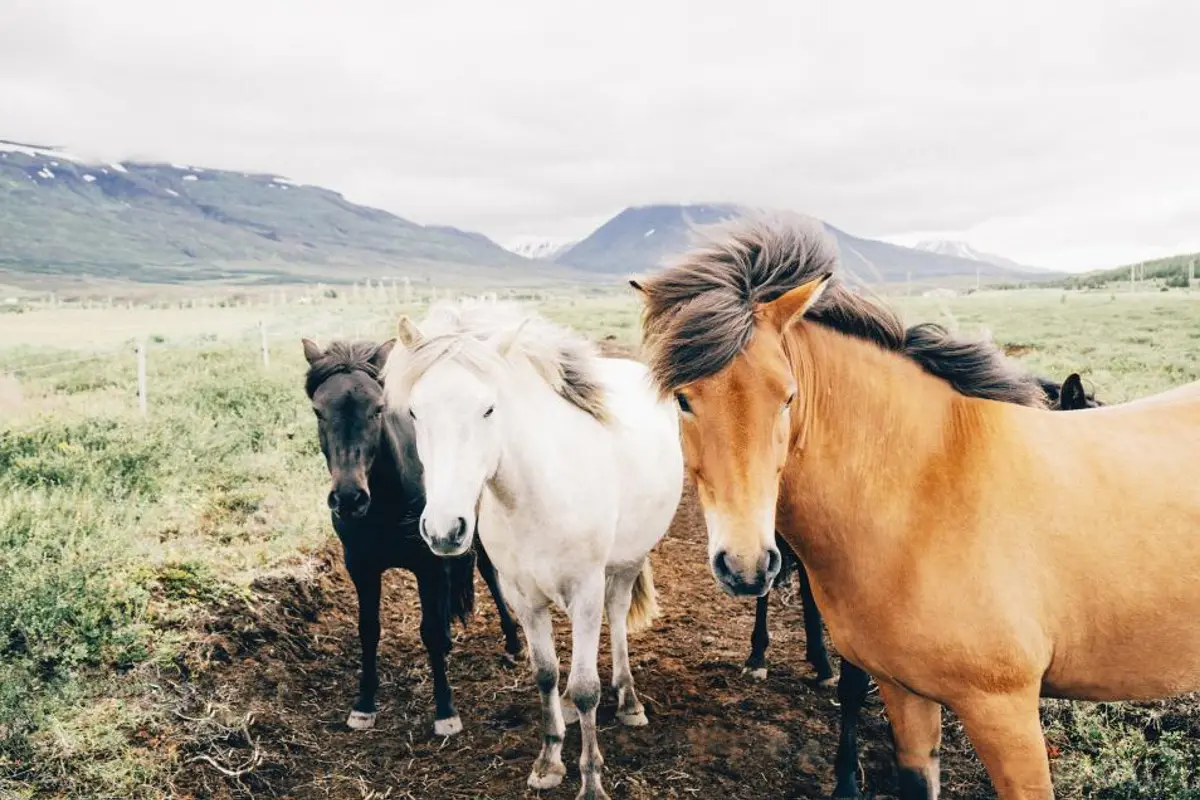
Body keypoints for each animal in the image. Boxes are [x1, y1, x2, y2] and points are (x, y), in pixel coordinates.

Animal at [302, 338, 523, 737]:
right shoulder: (361, 567)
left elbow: (431, 630)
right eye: (318, 411)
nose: (349, 498)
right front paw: (364, 705)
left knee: (488, 573)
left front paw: (445, 711)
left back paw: (513, 643)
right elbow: (368, 629)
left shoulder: (428, 563)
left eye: (377, 408)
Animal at [383, 301, 683, 800]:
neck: (536, 493)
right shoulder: (522, 597)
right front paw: (548, 761)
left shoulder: (585, 591)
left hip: (627, 563)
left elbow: (586, 686)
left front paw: (591, 781)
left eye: (489, 409)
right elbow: (545, 674)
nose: (444, 530)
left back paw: (629, 699)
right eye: (415, 413)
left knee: (618, 616)